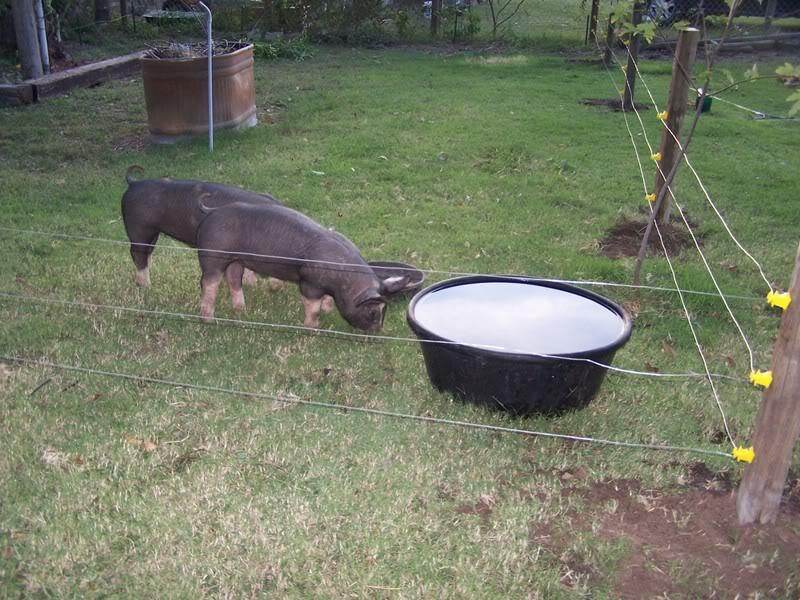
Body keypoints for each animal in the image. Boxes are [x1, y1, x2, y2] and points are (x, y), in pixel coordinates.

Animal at [120, 165, 279, 287]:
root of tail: (134, 183)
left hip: (153, 232)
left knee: (147, 252)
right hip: (138, 227)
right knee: (137, 253)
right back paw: (146, 285)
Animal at [195, 202, 408, 332]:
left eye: (384, 311)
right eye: (373, 312)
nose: (377, 332)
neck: (343, 281)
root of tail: (212, 211)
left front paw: (327, 310)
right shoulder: (309, 283)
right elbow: (312, 307)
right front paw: (314, 328)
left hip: (236, 260)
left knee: (233, 279)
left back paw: (241, 310)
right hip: (212, 255)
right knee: (208, 283)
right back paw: (209, 320)